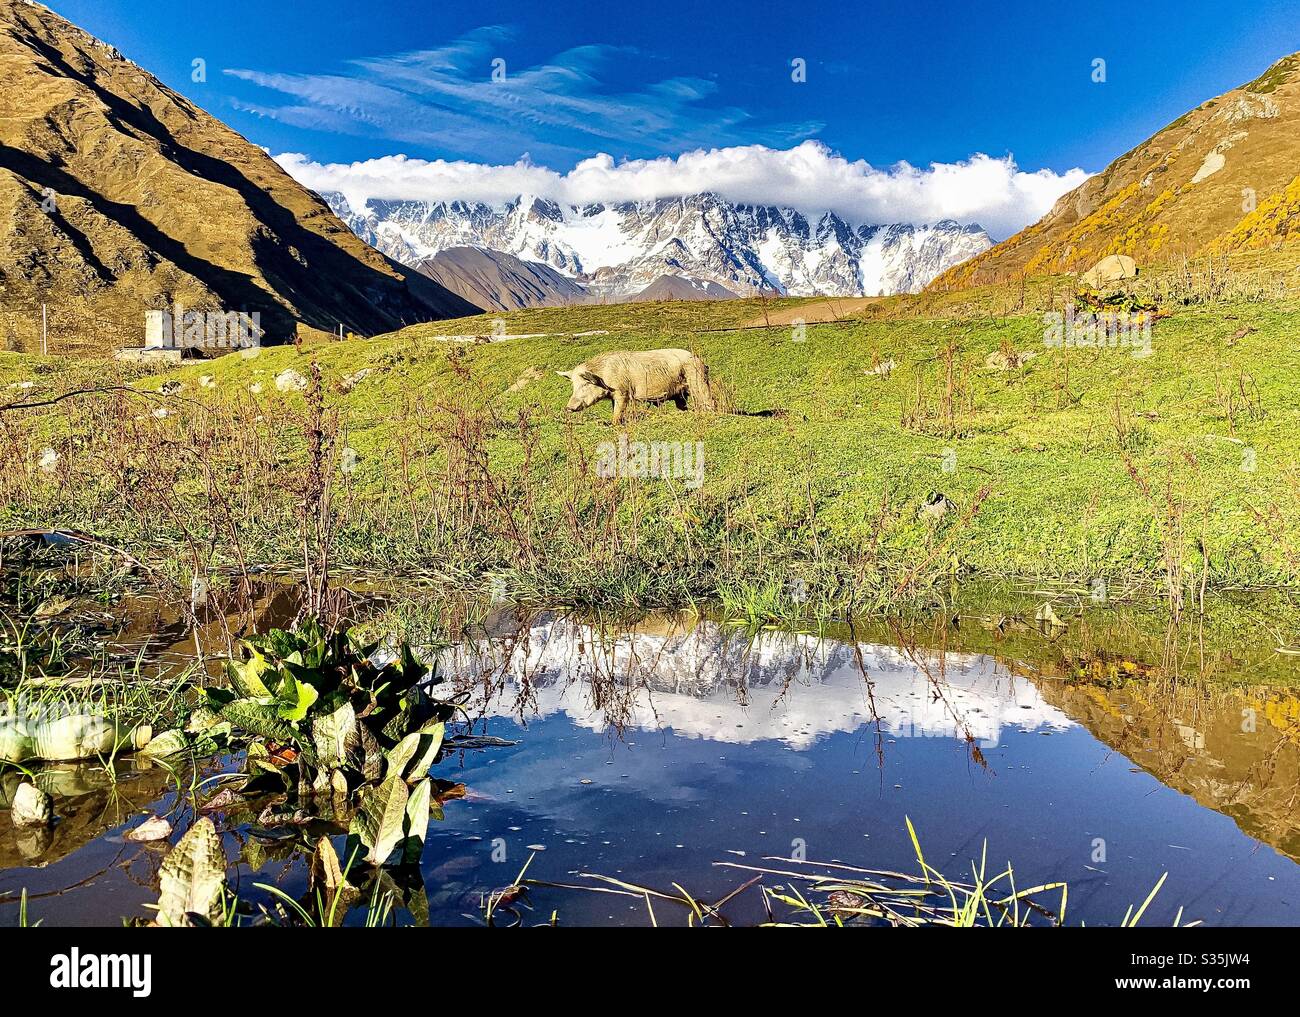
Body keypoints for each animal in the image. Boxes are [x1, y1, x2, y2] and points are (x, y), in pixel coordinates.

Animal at [556, 348, 715, 425]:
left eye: (585, 384)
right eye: (574, 385)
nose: (568, 407)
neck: (604, 375)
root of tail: (700, 361)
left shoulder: (622, 391)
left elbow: (618, 410)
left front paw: (614, 424)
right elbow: (614, 408)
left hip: (697, 380)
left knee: (708, 399)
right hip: (680, 394)